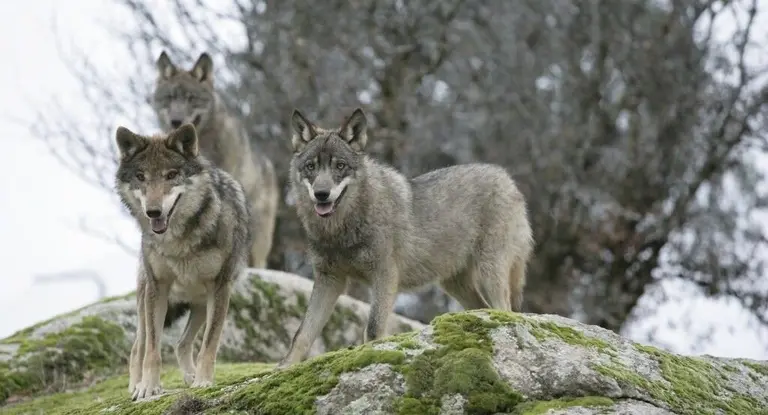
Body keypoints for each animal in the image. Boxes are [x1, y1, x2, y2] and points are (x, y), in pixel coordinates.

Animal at [114, 123, 252, 400]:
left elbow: (209, 344)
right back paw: (136, 386)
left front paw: (203, 381)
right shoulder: (158, 288)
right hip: (146, 301)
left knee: (181, 343)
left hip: (200, 304)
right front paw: (148, 388)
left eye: (171, 175)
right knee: (138, 348)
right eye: (141, 176)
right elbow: (152, 351)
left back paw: (190, 377)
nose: (153, 212)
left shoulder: (220, 288)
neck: (178, 241)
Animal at [278, 108, 534, 368]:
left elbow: (373, 330)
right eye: (311, 166)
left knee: (506, 310)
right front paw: (284, 367)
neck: (340, 230)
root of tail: (507, 179)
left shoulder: (384, 275)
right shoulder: (329, 280)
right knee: (484, 309)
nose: (321, 194)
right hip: (454, 284)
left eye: (340, 166)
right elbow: (302, 334)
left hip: (490, 273)